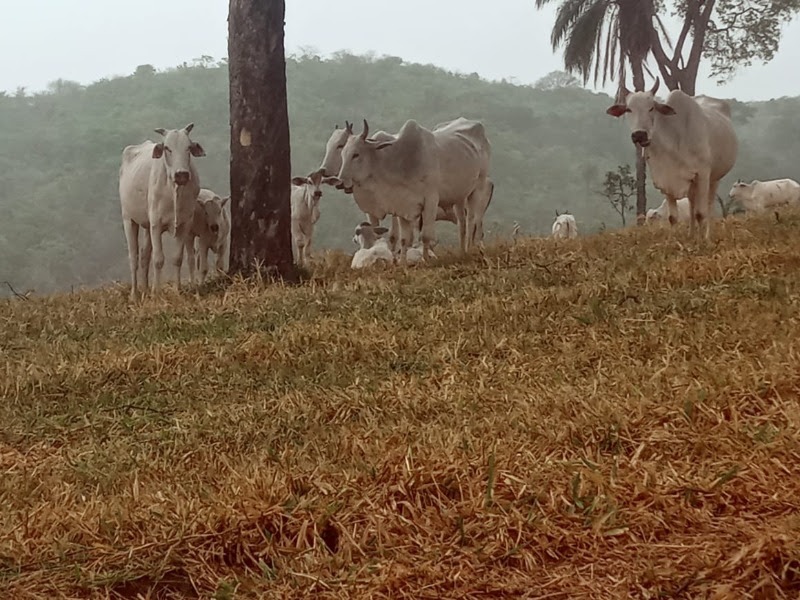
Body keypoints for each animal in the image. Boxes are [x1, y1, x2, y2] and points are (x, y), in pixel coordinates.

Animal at [334, 119, 440, 262]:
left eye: (356, 154)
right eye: (342, 153)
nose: (339, 182)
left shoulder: (430, 199)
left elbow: (423, 235)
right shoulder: (402, 206)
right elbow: (404, 237)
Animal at [608, 78, 736, 240]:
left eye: (651, 108)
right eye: (628, 109)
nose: (639, 135)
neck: (674, 140)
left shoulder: (703, 174)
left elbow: (701, 213)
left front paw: (702, 241)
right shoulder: (666, 180)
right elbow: (673, 217)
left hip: (714, 178)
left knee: (709, 206)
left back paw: (706, 236)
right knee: (691, 204)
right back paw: (691, 235)